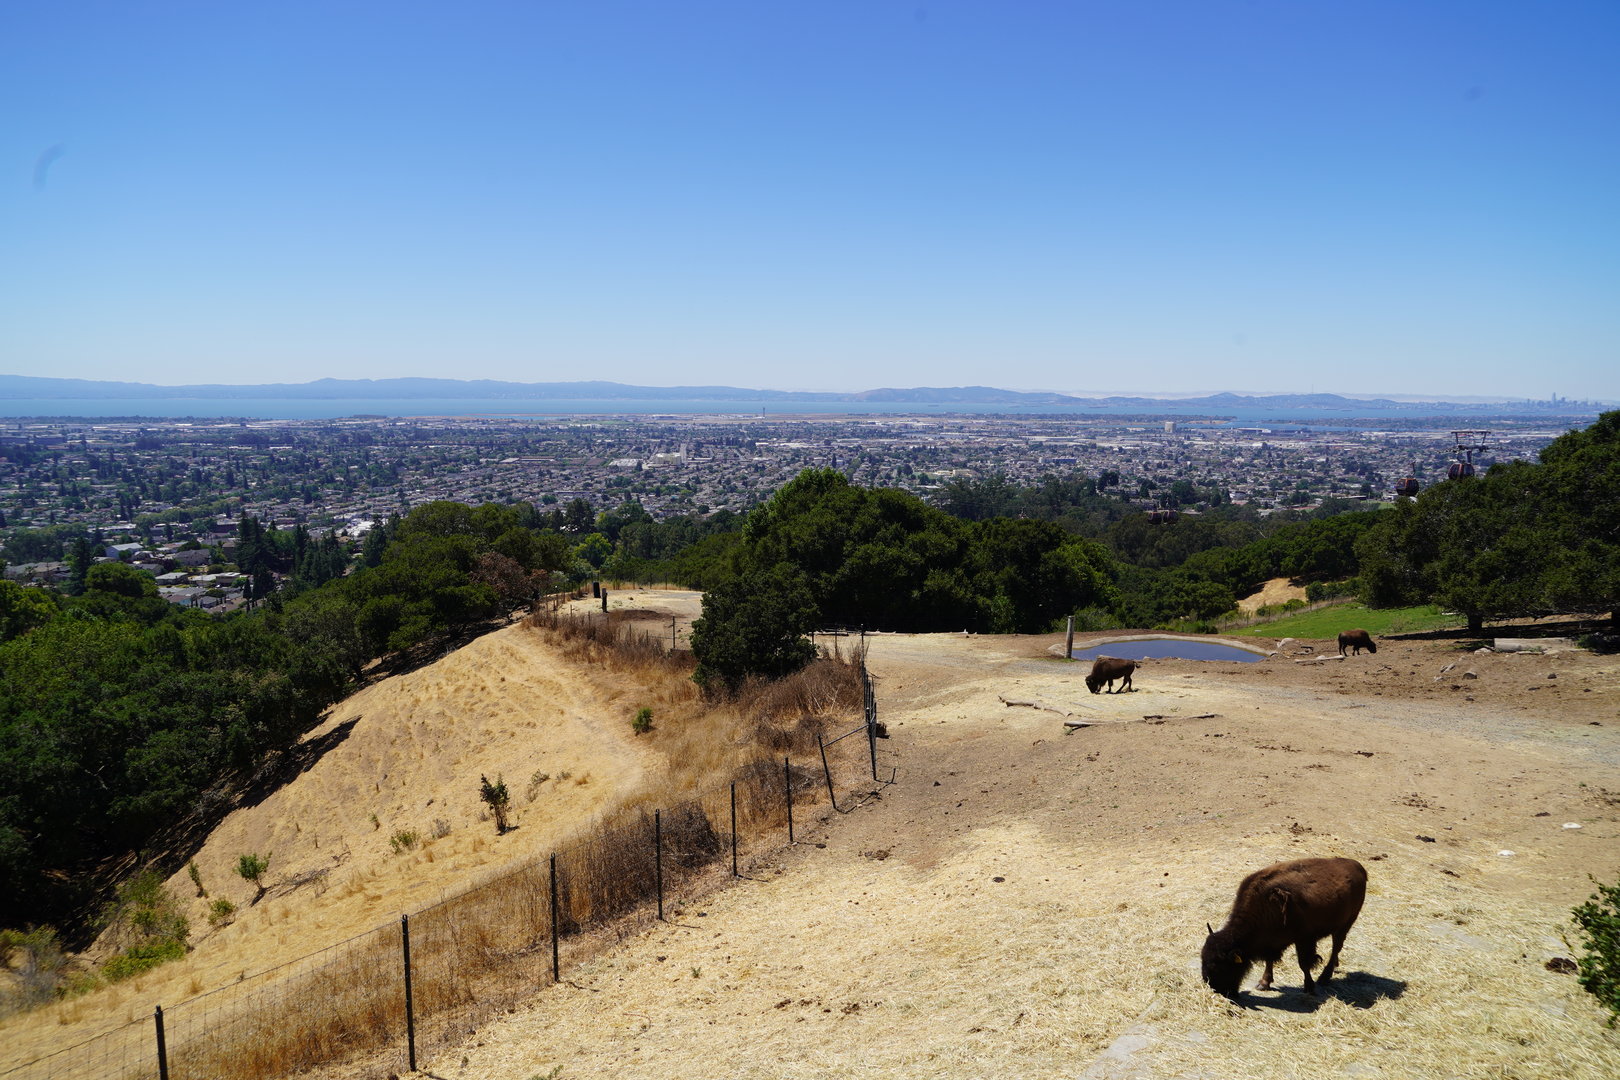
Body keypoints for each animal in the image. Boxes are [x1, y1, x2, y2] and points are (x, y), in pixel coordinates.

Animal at [1201, 856, 1367, 999]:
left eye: (1218, 966)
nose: (1216, 989)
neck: (1263, 907)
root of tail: (1359, 867)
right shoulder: (1271, 942)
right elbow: (1269, 960)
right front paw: (1264, 983)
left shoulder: (1303, 940)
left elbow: (1304, 964)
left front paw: (1309, 988)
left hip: (1346, 924)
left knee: (1336, 947)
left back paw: (1324, 977)